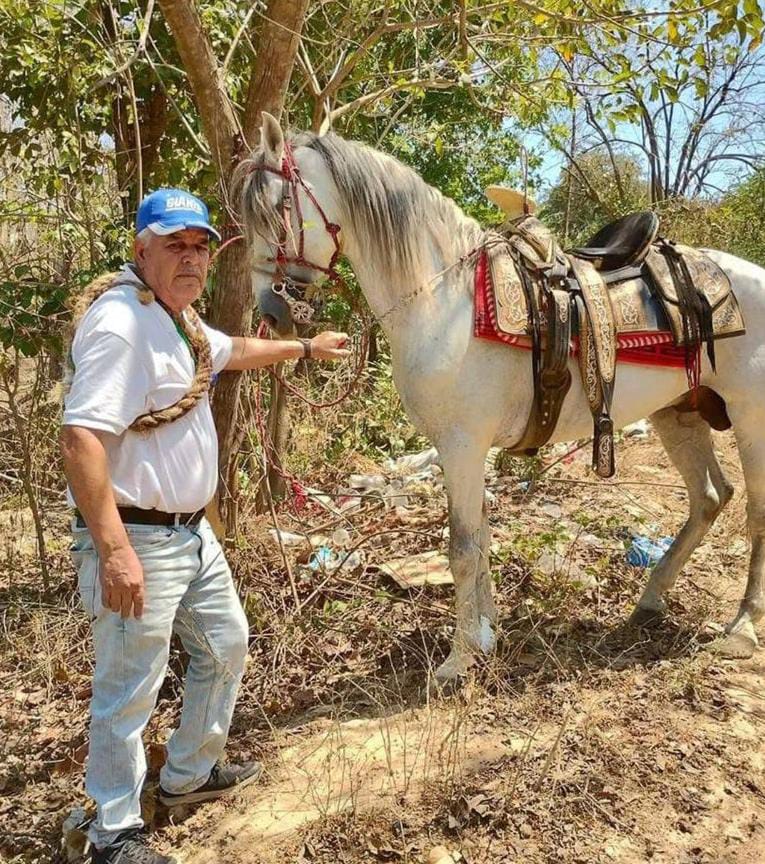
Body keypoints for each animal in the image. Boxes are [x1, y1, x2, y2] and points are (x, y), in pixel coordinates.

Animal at [239, 113, 764, 680]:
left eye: (276, 210)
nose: (272, 311)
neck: (445, 299)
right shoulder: (469, 451)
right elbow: (483, 539)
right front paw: (486, 636)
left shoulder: (462, 446)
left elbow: (463, 547)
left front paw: (460, 657)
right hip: (679, 413)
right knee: (710, 496)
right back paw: (650, 600)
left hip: (750, 418)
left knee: (753, 512)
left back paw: (740, 629)